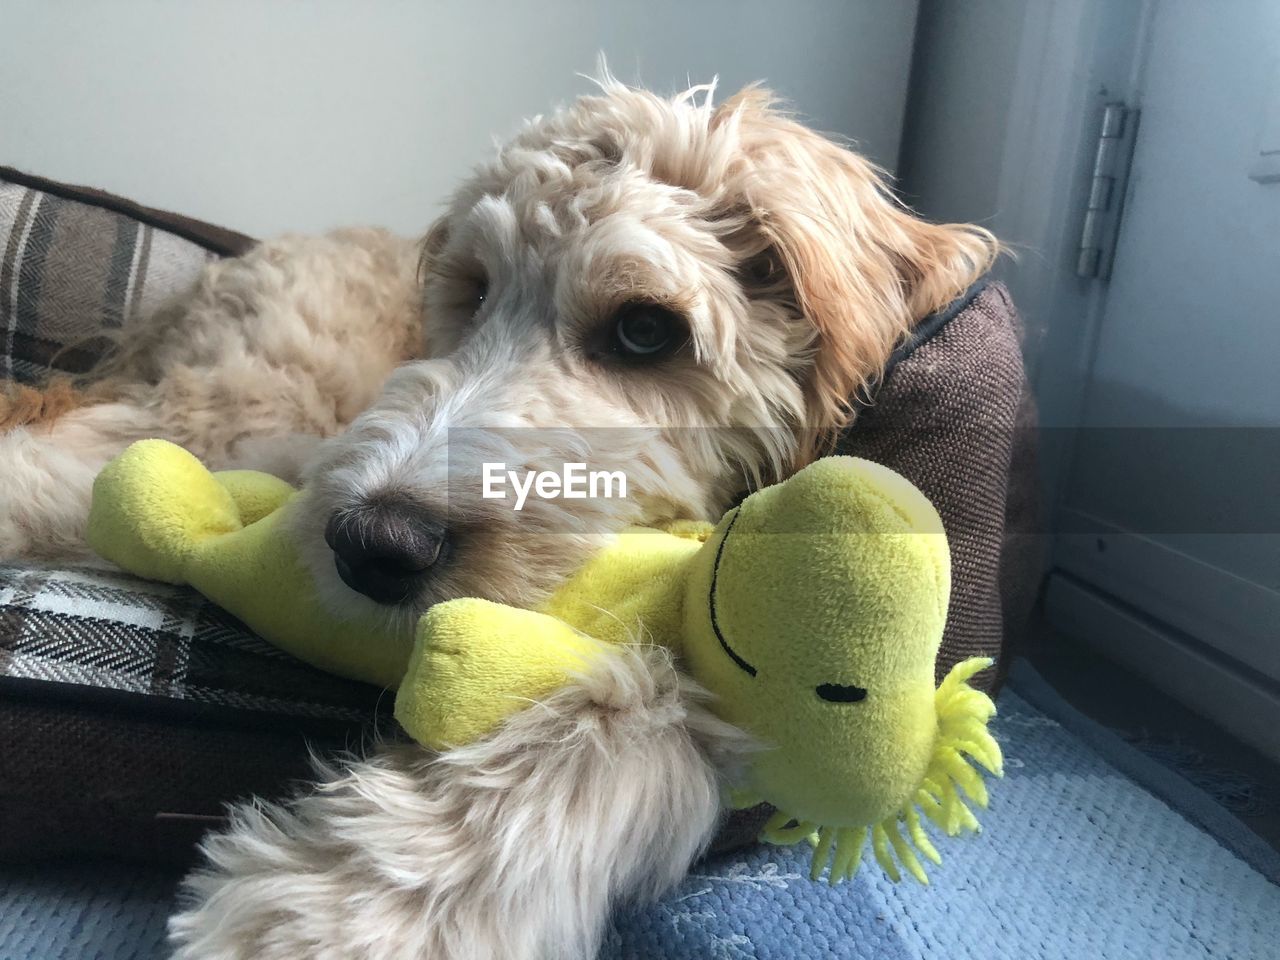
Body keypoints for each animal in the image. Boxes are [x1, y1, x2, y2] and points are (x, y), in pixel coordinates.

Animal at [0, 79, 993, 957]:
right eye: (472, 290)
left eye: (646, 331)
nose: (372, 546)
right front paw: (347, 914)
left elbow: (653, 702)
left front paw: (355, 908)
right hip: (254, 402)